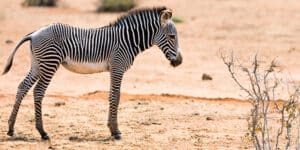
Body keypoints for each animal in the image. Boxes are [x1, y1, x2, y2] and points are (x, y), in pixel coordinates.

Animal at [2, 6, 182, 140]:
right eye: (172, 36)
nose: (179, 61)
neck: (127, 40)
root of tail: (34, 33)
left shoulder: (114, 69)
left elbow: (112, 95)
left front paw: (112, 129)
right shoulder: (117, 66)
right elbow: (116, 96)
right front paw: (115, 131)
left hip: (37, 64)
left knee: (22, 87)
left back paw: (11, 128)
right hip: (50, 63)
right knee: (38, 91)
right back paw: (43, 132)